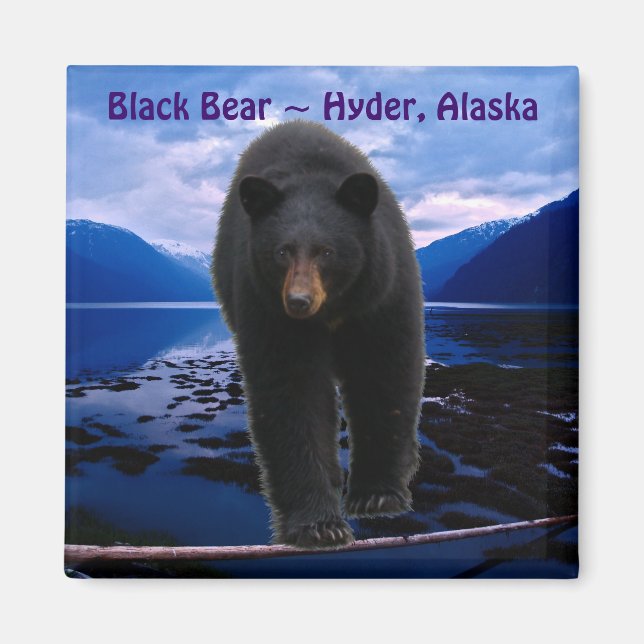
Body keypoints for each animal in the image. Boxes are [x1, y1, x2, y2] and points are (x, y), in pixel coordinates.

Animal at [212, 120, 425, 548]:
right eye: (281, 252)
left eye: (327, 251)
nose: (298, 301)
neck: (334, 309)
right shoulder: (265, 305)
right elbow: (292, 393)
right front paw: (320, 524)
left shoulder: (383, 294)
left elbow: (384, 376)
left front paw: (377, 495)